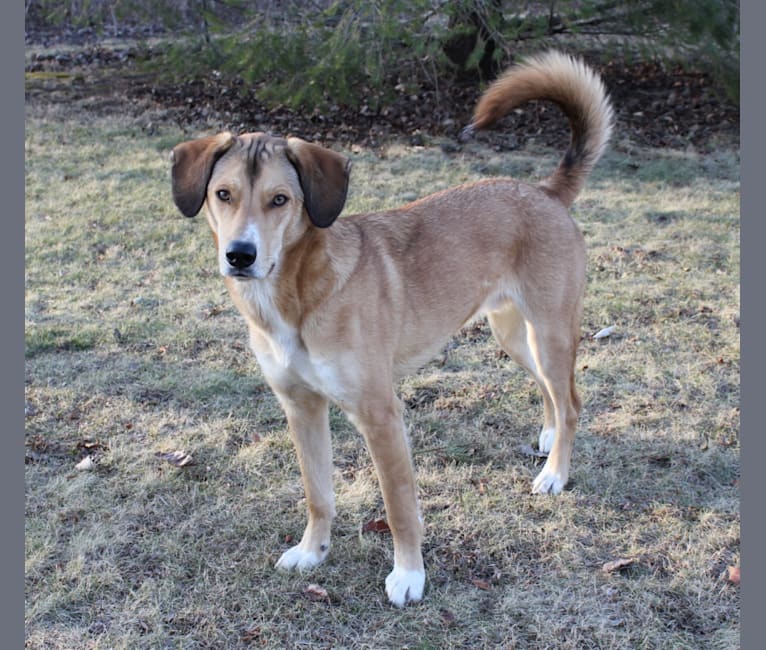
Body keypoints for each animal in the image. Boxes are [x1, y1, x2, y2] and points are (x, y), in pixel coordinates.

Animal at [171, 52, 616, 608]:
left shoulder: (380, 416)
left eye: (280, 200)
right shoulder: (301, 408)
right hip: (514, 335)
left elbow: (399, 508)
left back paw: (555, 472)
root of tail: (544, 192)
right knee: (551, 392)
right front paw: (313, 552)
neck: (299, 294)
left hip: (551, 331)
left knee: (572, 399)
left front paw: (408, 575)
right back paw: (549, 438)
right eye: (222, 194)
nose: (240, 256)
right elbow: (318, 494)